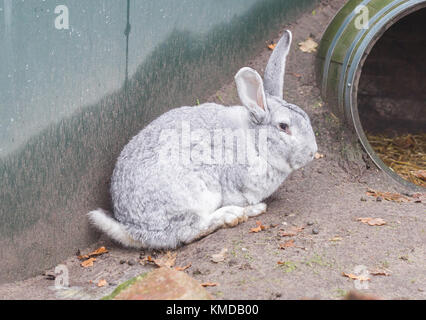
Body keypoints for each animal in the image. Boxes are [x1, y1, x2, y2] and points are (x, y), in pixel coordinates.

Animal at [88, 30, 318, 249]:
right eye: (283, 127)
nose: (312, 152)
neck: (256, 143)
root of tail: (135, 231)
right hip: (196, 195)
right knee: (190, 230)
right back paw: (238, 214)